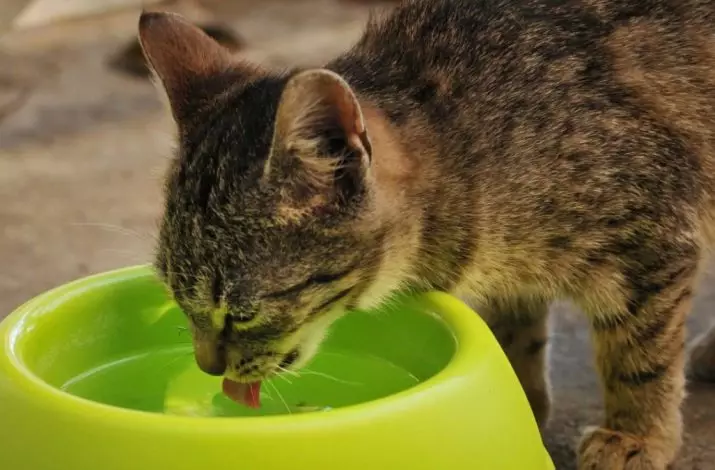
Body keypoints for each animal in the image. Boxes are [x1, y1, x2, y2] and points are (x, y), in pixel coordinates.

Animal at [138, 1, 715, 468]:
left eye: (242, 313)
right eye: (175, 296)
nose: (207, 365)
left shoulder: (654, 238)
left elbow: (639, 355)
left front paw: (636, 434)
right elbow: (514, 330)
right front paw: (517, 399)